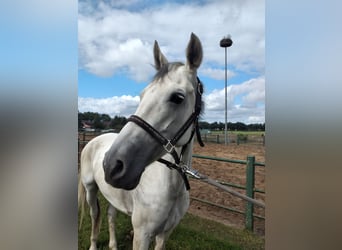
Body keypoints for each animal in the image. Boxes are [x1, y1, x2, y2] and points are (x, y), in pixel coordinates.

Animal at [78, 33, 203, 250]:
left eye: (178, 97)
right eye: (142, 95)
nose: (112, 165)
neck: (171, 187)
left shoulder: (164, 235)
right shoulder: (142, 235)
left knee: (110, 215)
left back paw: (113, 245)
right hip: (90, 189)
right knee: (95, 215)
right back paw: (93, 245)